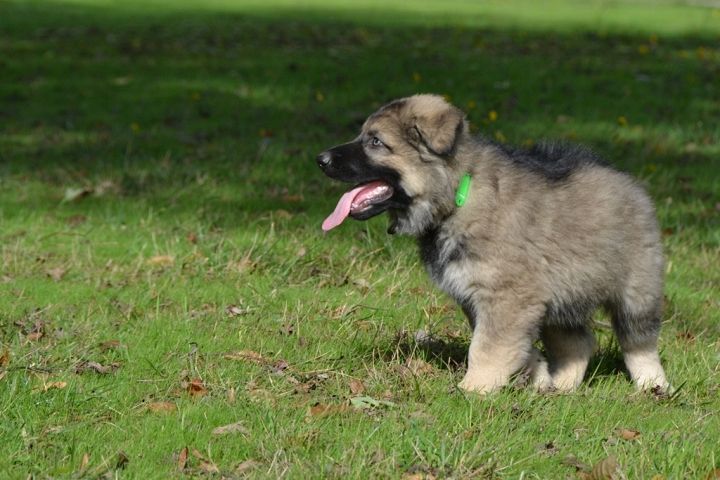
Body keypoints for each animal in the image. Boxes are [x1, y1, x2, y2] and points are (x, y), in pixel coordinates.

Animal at [317, 94, 669, 394]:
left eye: (375, 142)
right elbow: (502, 343)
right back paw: (561, 386)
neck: (456, 196)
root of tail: (626, 179)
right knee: (577, 342)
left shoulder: (506, 297)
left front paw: (472, 390)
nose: (320, 159)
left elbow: (486, 347)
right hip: (563, 293)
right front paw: (535, 375)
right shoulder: (485, 297)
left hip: (636, 289)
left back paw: (654, 386)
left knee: (639, 342)